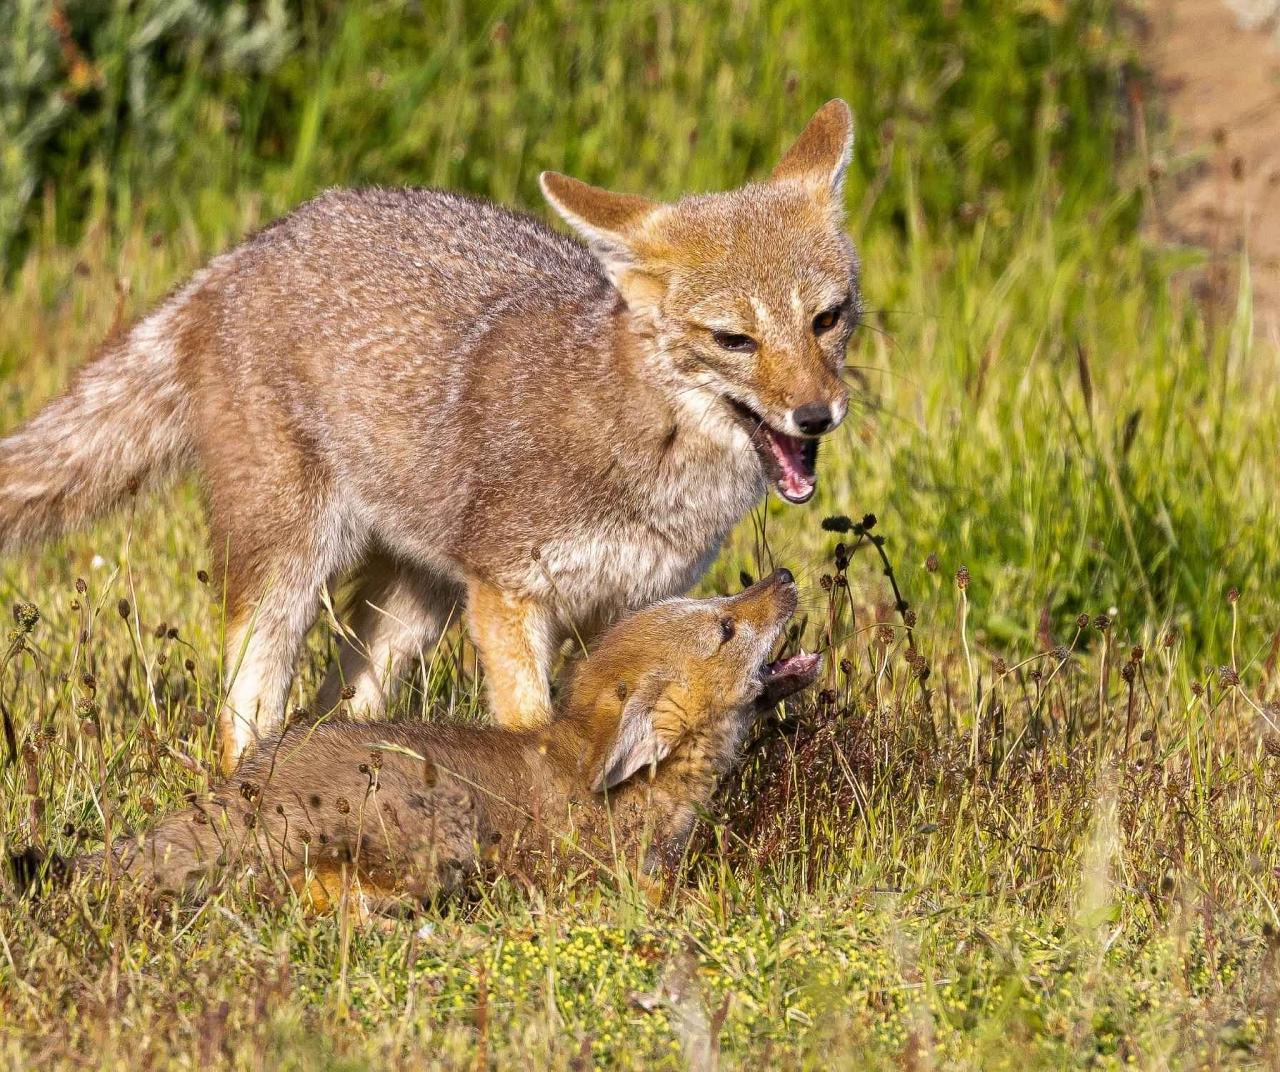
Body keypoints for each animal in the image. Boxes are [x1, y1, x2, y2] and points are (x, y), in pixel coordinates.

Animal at [0, 100, 857, 773]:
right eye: (734, 340)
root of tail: (252, 249)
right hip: (292, 570)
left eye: (827, 319)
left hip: (414, 610)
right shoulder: (509, 594)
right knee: (249, 709)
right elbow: (532, 727)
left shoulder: (634, 603)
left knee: (341, 709)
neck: (647, 459)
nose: (818, 416)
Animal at [18, 572, 817, 910]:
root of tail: (244, 791)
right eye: (726, 627)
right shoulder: (629, 882)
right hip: (441, 842)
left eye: (717, 604)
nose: (783, 574)